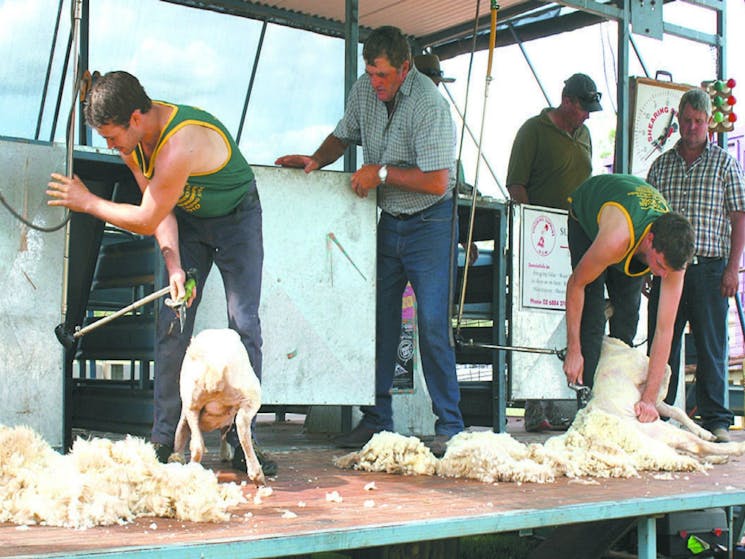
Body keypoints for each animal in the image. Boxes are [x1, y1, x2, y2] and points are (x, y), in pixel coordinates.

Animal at [338, 340, 744, 484]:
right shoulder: (646, 375)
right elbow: (668, 377)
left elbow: (672, 402)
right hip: (661, 435)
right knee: (696, 444)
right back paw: (730, 449)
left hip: (661, 433)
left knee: (691, 437)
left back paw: (717, 442)